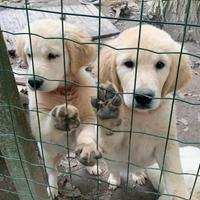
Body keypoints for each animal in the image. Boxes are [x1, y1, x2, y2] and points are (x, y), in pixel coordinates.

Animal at [16, 19, 101, 199]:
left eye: (52, 56)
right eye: (29, 55)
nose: (33, 82)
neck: (63, 90)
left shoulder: (90, 116)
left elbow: (88, 132)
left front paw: (87, 148)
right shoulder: (39, 120)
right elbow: (46, 125)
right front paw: (61, 116)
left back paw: (91, 166)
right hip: (47, 154)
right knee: (52, 171)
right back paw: (53, 188)